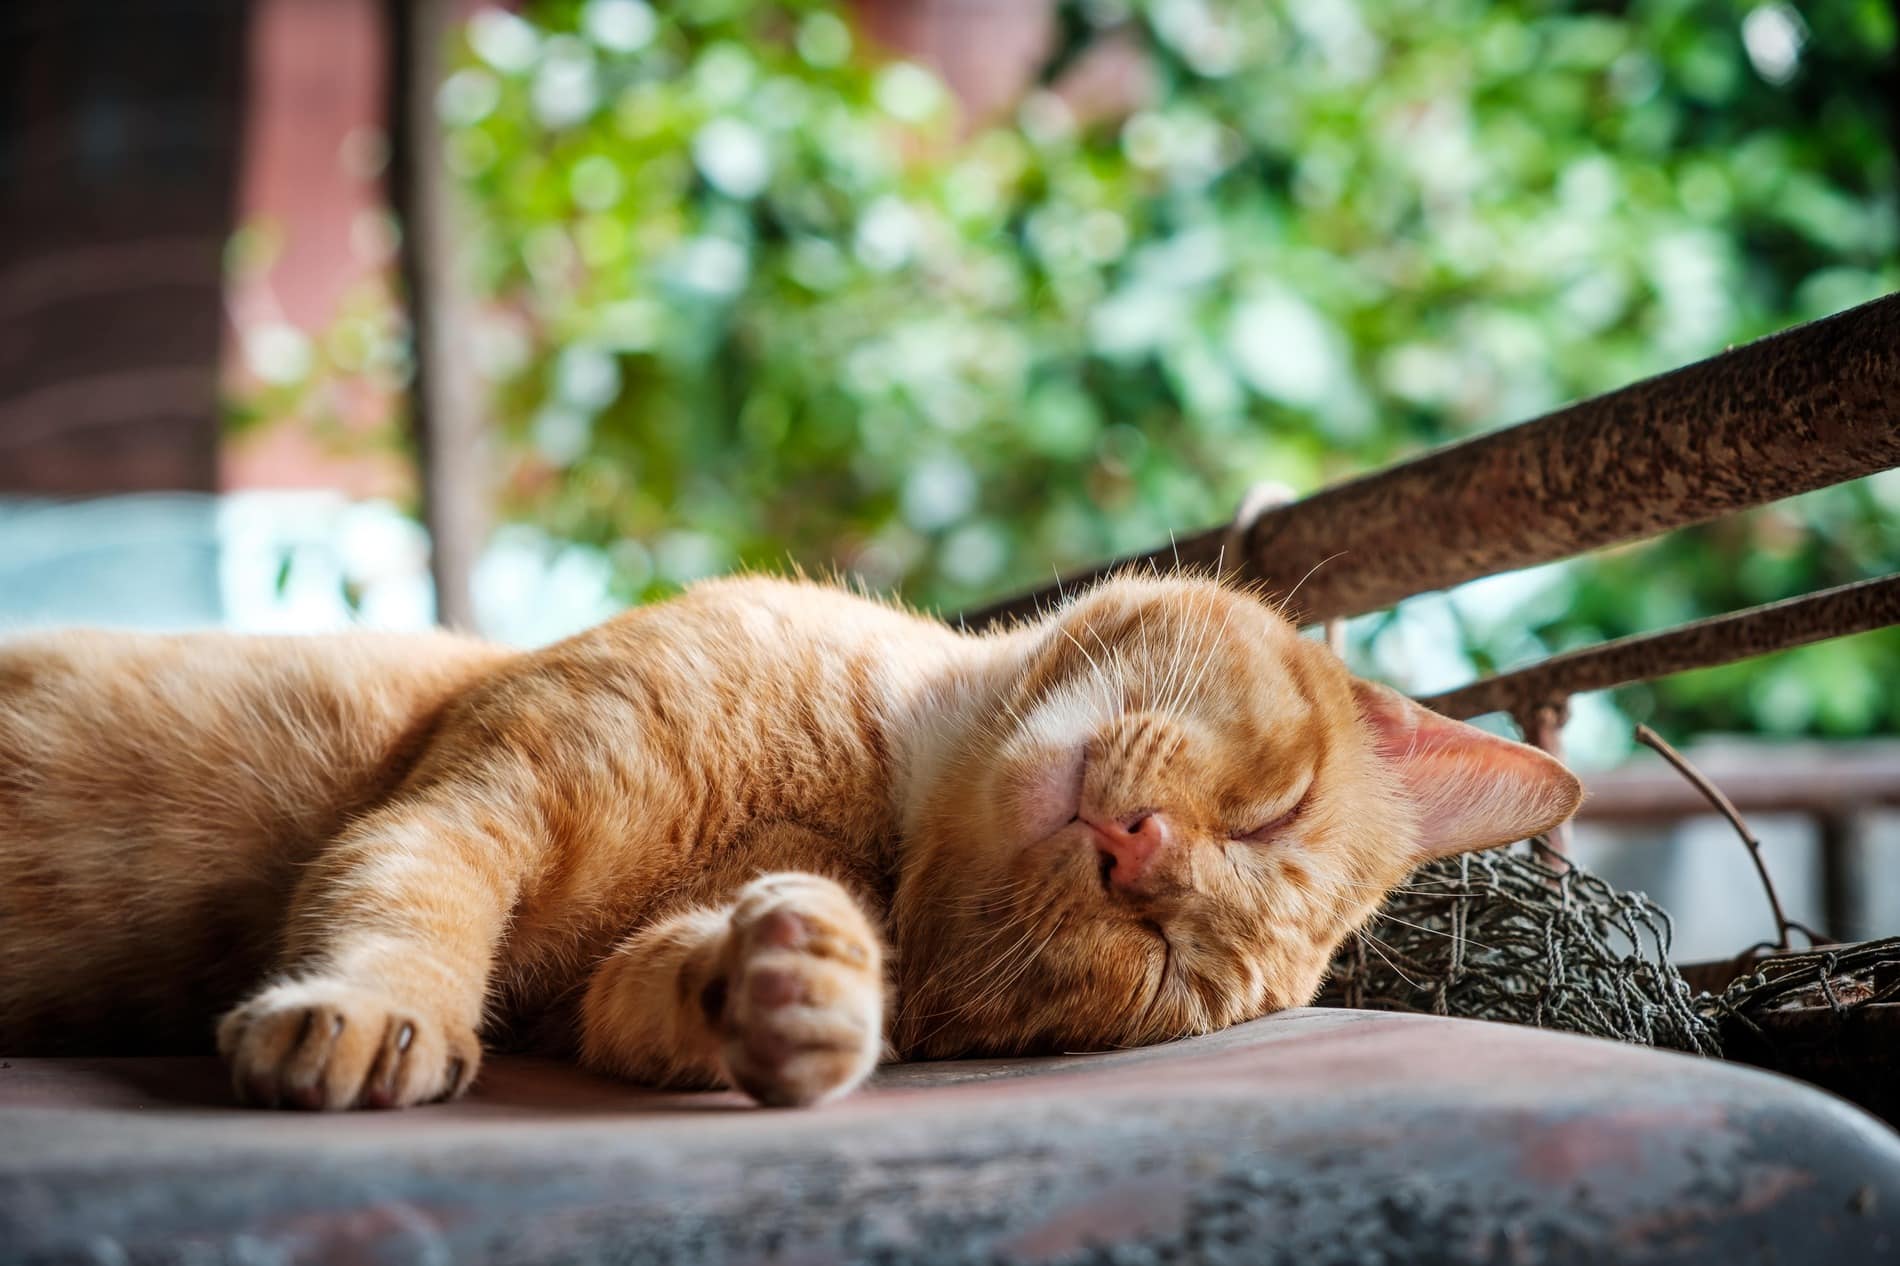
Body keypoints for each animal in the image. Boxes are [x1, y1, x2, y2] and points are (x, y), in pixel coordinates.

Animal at [0, 570, 1580, 1102]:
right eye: (1274, 810)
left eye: (1159, 967)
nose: (1141, 855)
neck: (873, 792)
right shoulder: (475, 800)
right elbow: (406, 906)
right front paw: (374, 1010)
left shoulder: (589, 992)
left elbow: (660, 993)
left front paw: (802, 982)